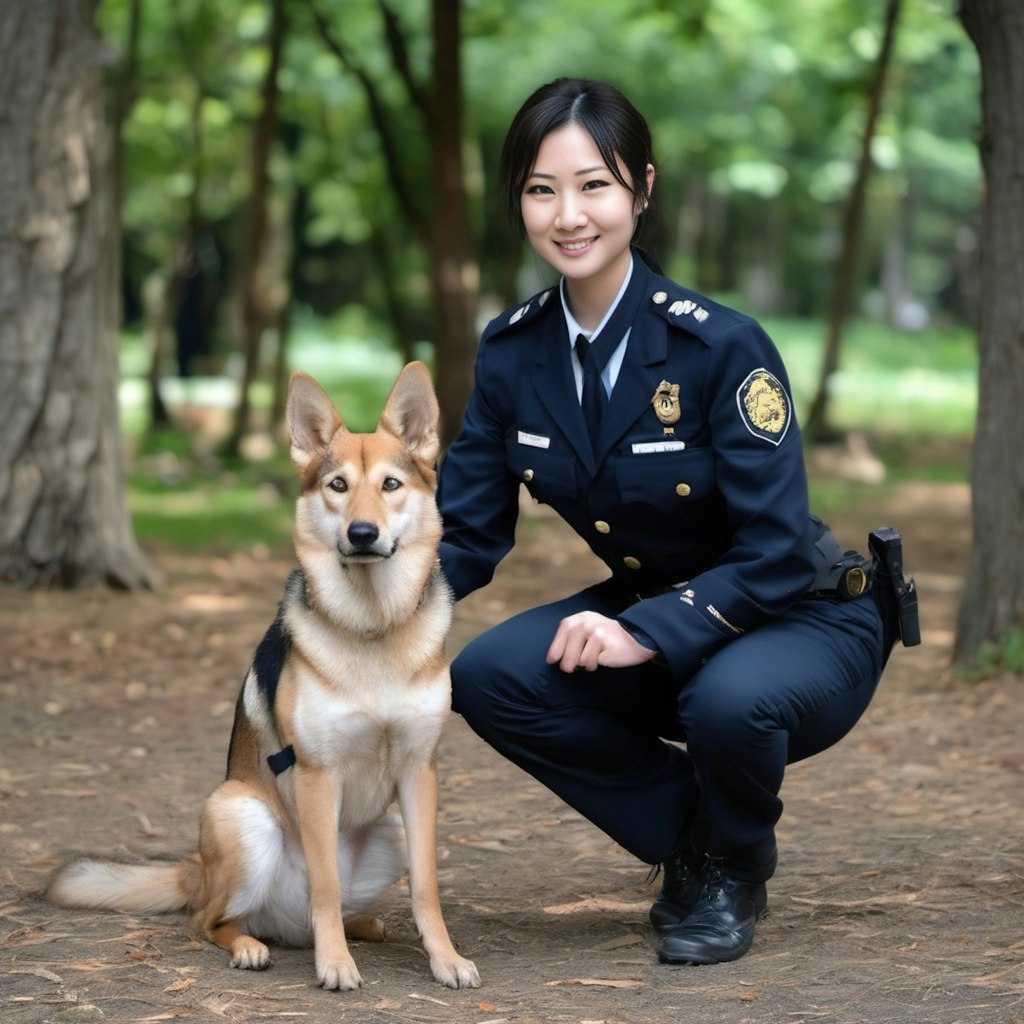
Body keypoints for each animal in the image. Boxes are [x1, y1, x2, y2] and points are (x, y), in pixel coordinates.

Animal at [45, 362, 479, 991]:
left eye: (391, 485)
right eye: (338, 486)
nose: (363, 533)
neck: (371, 628)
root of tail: (198, 871)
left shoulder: (420, 774)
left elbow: (425, 887)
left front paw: (443, 958)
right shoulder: (317, 773)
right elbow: (325, 885)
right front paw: (334, 966)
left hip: (391, 829)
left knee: (329, 911)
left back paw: (365, 927)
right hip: (241, 814)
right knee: (210, 920)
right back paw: (253, 946)